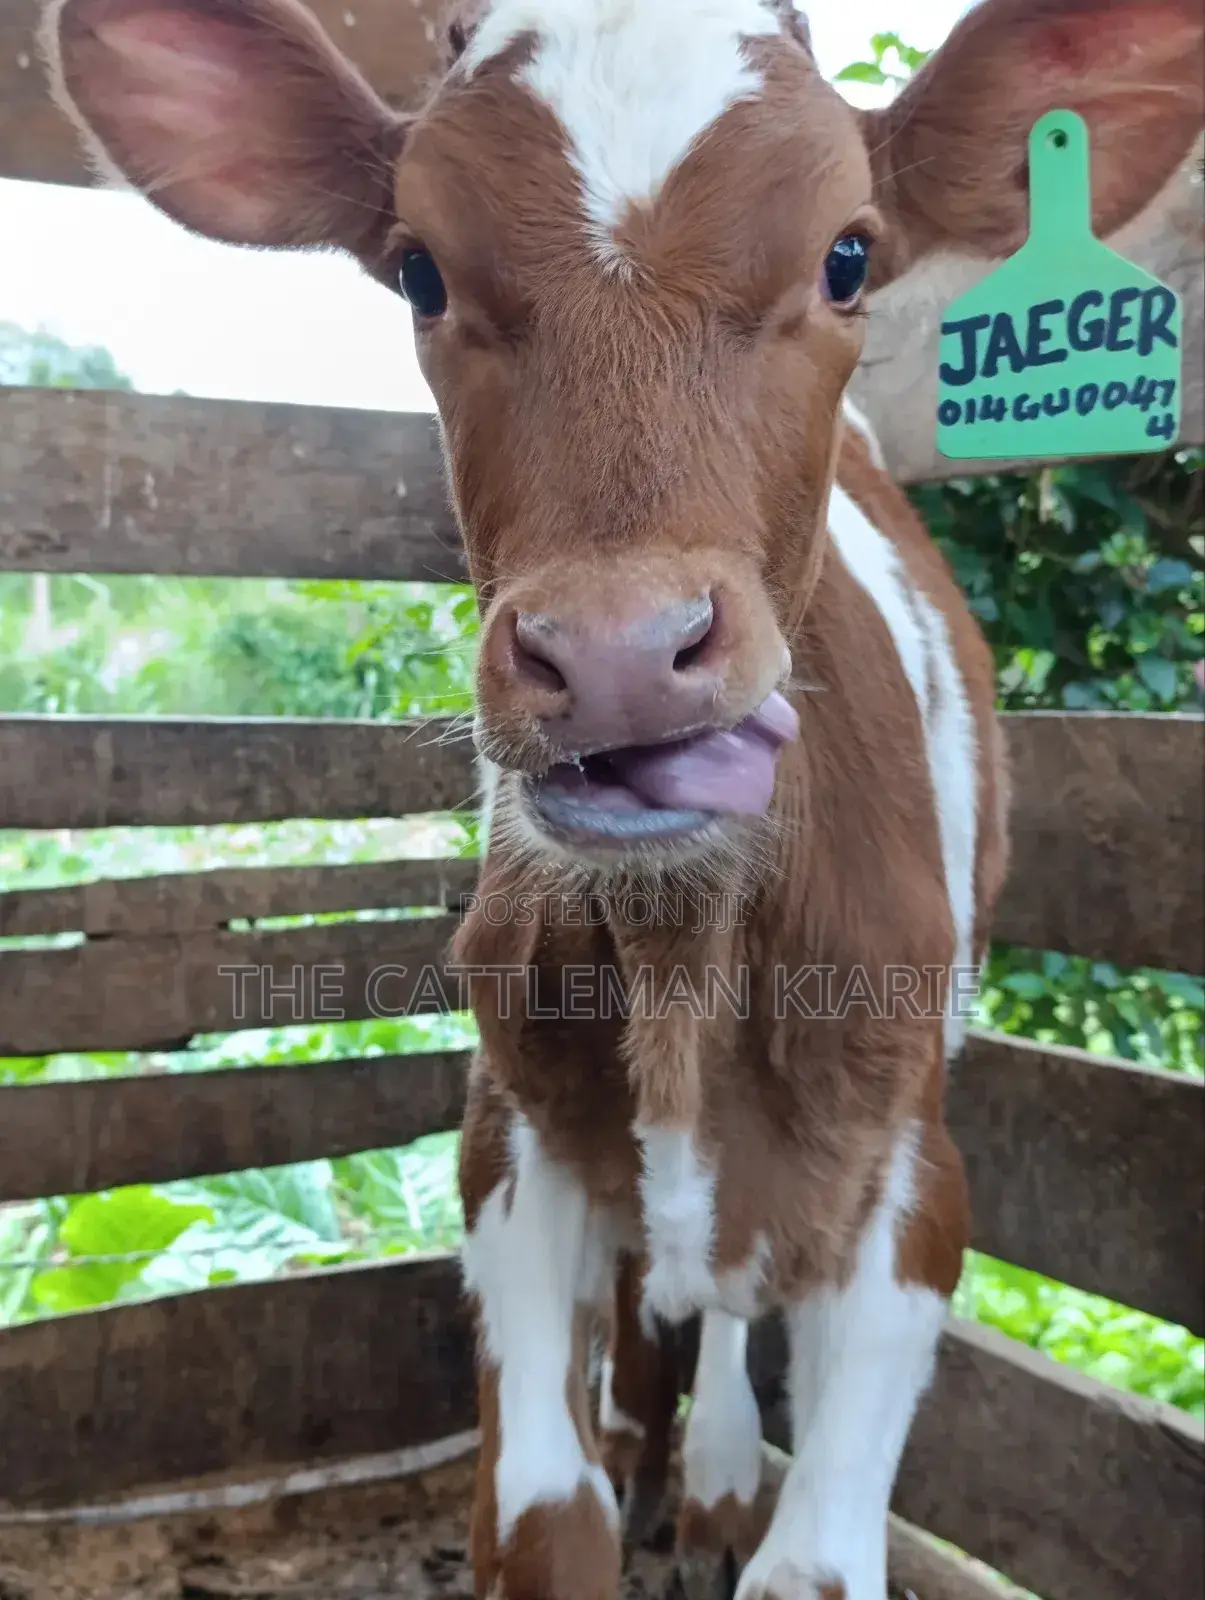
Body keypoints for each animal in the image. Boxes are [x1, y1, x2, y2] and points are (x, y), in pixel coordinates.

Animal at [42, 0, 1204, 1595]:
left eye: (847, 253)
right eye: (418, 266)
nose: (615, 654)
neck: (682, 947)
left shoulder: (910, 1190)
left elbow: (812, 1557)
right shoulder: (510, 1141)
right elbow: (545, 1509)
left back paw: (708, 1476)